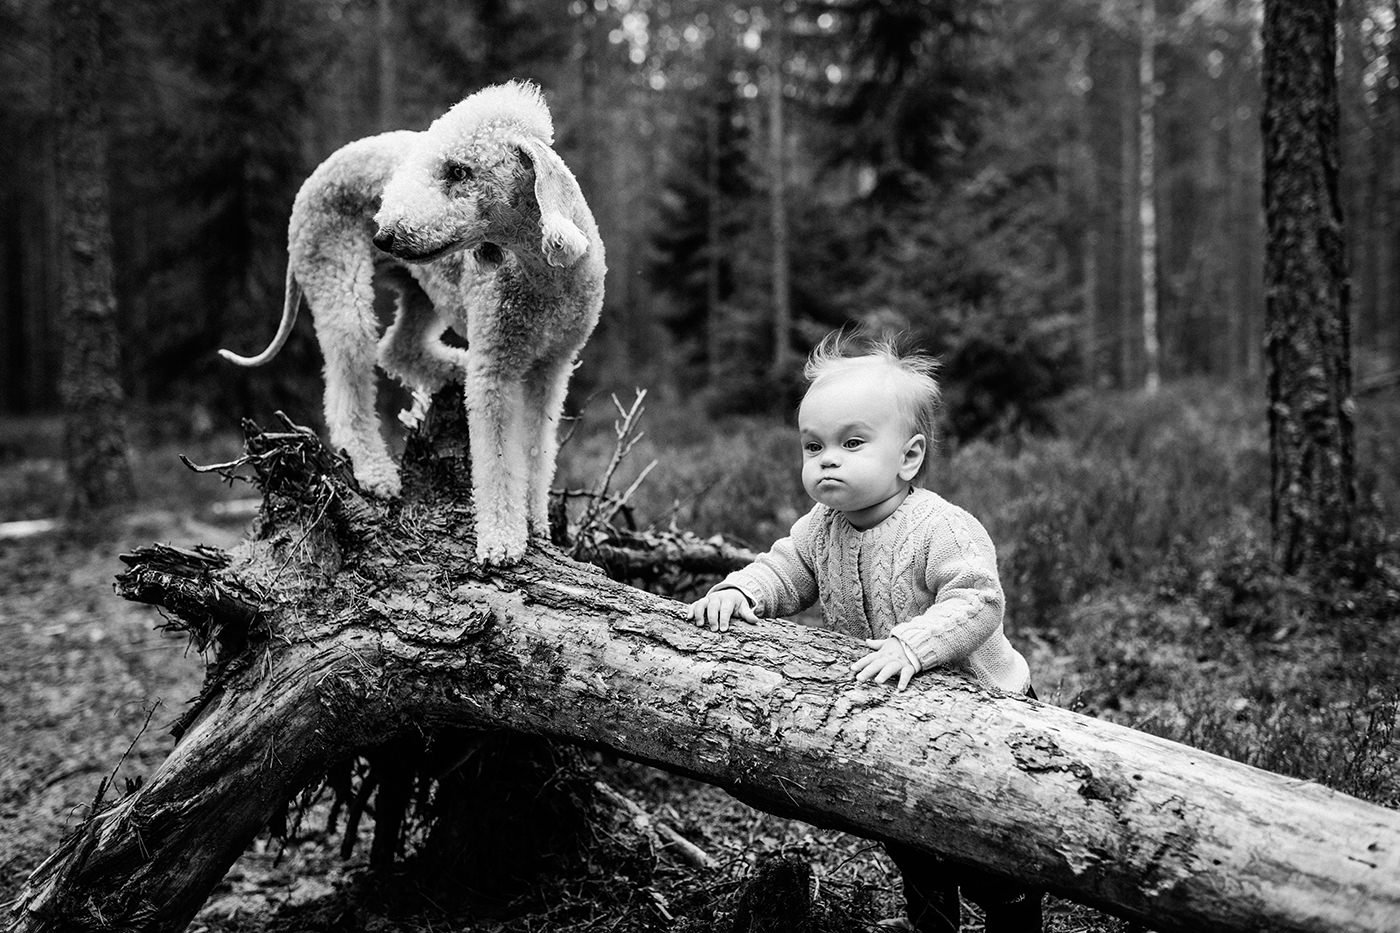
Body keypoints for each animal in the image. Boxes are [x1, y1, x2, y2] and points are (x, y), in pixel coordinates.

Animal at [221, 79, 604, 560]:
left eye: (458, 171)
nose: (385, 235)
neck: (538, 274)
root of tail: (316, 176)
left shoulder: (551, 368)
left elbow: (537, 450)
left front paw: (536, 524)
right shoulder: (495, 370)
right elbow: (498, 459)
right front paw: (500, 541)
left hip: (420, 290)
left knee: (396, 349)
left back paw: (451, 371)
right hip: (338, 283)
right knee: (350, 385)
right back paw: (375, 472)